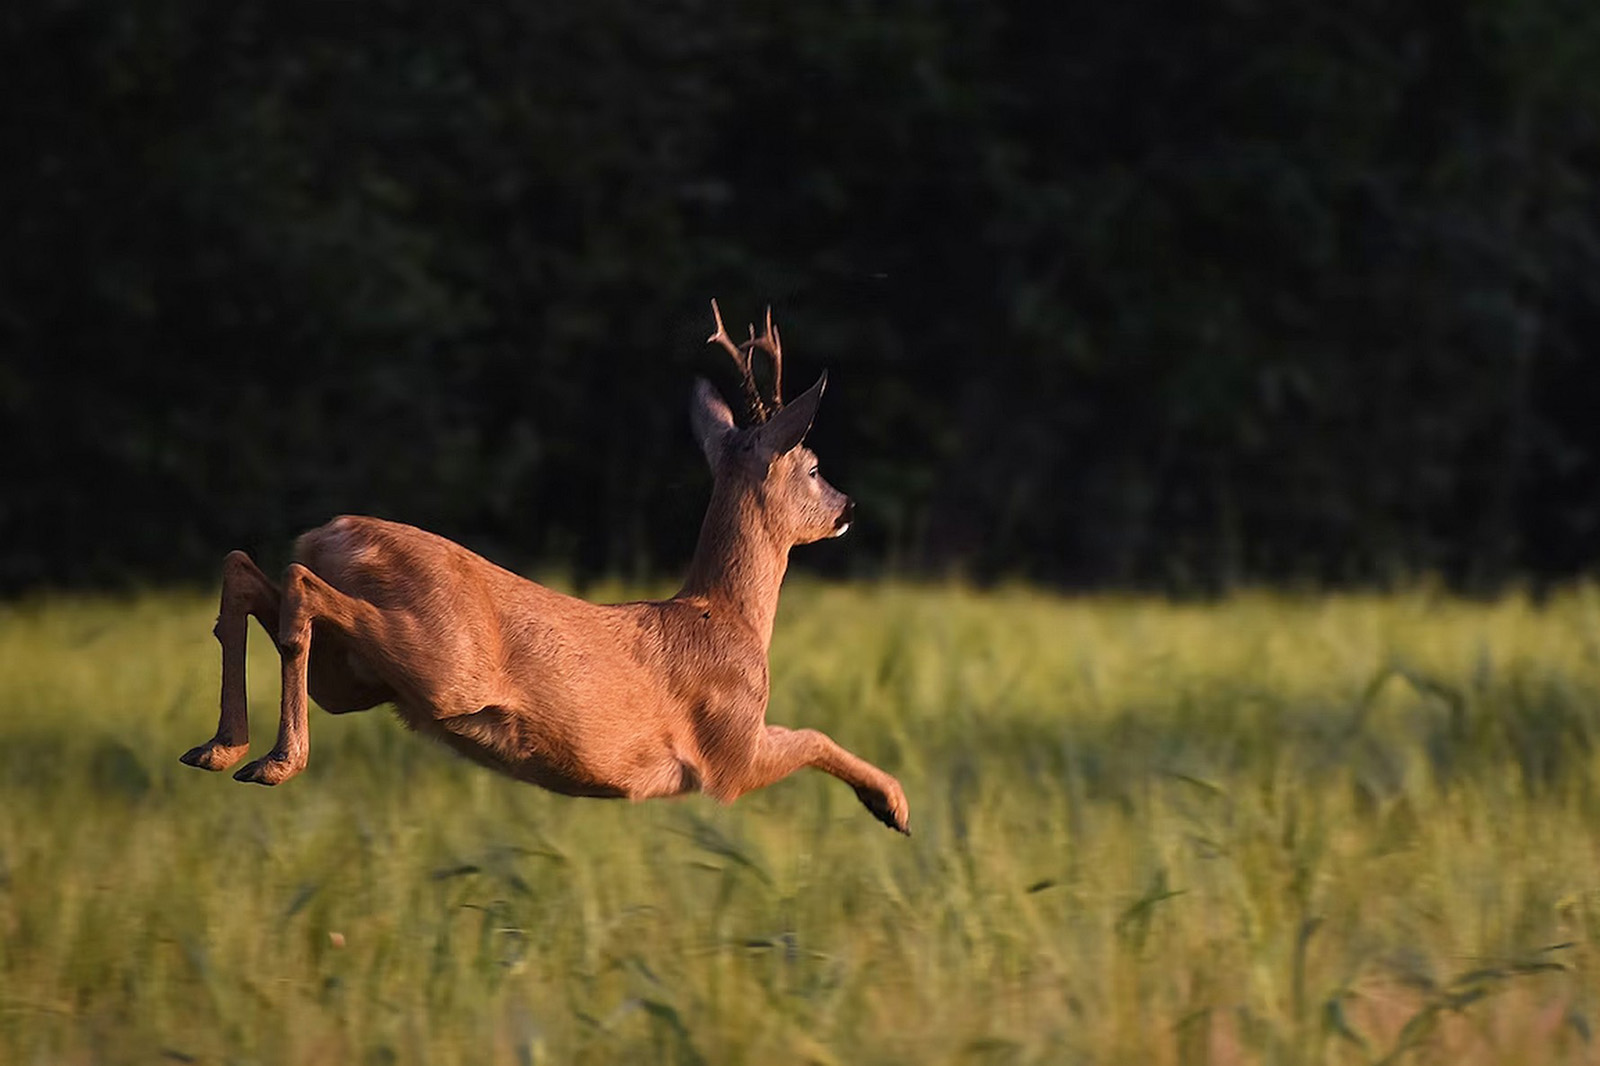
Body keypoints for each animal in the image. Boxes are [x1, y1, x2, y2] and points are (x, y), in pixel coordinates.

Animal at [176, 299, 915, 832]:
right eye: (813, 467)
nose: (849, 506)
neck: (728, 617)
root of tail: (329, 534)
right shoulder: (726, 753)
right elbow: (813, 735)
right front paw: (894, 805)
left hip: (357, 678)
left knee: (247, 570)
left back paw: (219, 748)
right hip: (441, 661)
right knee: (298, 586)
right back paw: (275, 760)